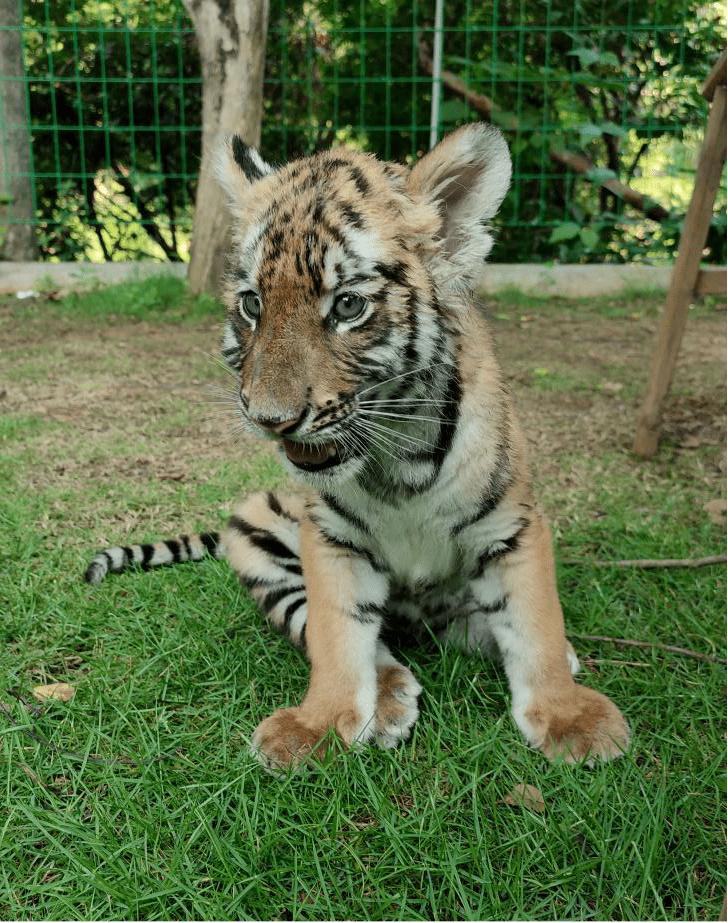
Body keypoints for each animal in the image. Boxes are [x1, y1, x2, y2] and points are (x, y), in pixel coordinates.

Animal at [85, 123, 629, 771]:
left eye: (347, 305)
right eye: (252, 304)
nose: (271, 419)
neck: (399, 456)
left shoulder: (513, 523)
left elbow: (535, 621)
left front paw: (571, 715)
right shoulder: (332, 538)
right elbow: (336, 635)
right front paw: (316, 724)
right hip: (256, 533)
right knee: (329, 626)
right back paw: (390, 695)